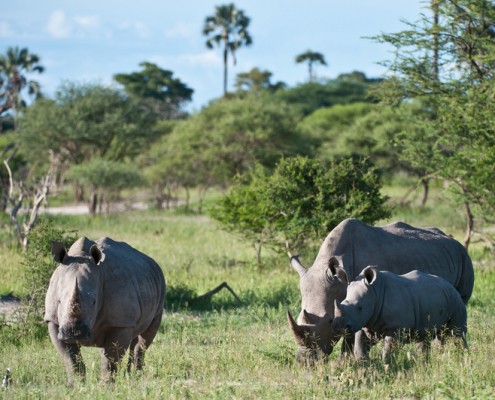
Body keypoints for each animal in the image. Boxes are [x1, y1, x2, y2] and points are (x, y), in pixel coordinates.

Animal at [44, 238, 167, 384]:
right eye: (58, 301)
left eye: (94, 302)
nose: (74, 334)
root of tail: (152, 261)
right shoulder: (53, 320)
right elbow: (70, 357)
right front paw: (76, 384)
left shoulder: (121, 322)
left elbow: (112, 358)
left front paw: (106, 385)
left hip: (160, 287)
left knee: (144, 340)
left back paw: (134, 378)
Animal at [334, 266, 468, 362]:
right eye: (342, 302)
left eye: (360, 308)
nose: (339, 327)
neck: (375, 293)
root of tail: (450, 285)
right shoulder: (365, 323)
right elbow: (360, 348)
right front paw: (364, 366)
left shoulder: (396, 327)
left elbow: (388, 350)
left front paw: (387, 365)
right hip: (435, 297)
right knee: (426, 337)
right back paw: (427, 362)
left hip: (456, 301)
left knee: (457, 334)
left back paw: (462, 358)